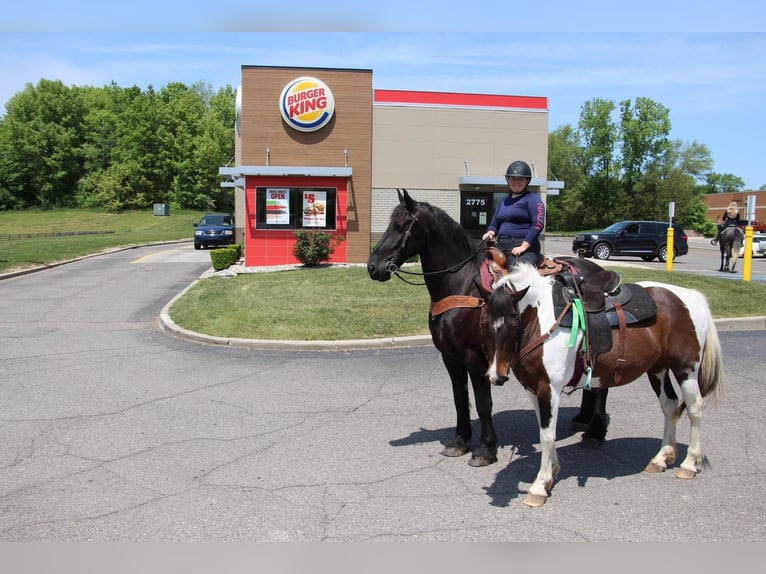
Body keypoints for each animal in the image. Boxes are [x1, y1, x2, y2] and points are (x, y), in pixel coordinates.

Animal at [368, 191, 616, 470]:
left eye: (401, 226)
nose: (373, 267)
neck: (462, 284)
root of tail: (596, 270)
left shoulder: (476, 357)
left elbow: (483, 402)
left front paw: (485, 449)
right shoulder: (450, 357)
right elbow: (460, 399)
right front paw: (459, 442)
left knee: (602, 386)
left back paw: (595, 432)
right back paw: (583, 419)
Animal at [484, 264, 724, 508]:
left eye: (514, 320)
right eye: (484, 322)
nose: (497, 376)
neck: (541, 320)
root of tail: (691, 296)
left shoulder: (549, 389)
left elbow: (547, 436)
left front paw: (540, 486)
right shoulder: (534, 390)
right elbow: (545, 431)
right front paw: (552, 473)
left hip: (686, 369)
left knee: (694, 410)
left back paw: (689, 464)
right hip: (658, 368)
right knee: (670, 406)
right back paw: (662, 458)